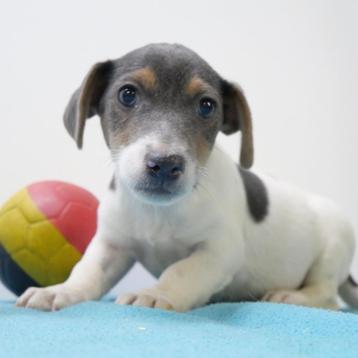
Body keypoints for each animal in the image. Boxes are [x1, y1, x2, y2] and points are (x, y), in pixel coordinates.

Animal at [16, 42, 358, 310]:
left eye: (207, 106)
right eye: (127, 95)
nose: (165, 164)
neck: (157, 212)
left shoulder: (219, 250)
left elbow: (182, 270)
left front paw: (158, 294)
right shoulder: (111, 245)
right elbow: (86, 271)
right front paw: (60, 291)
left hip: (333, 246)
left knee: (326, 296)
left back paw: (292, 296)